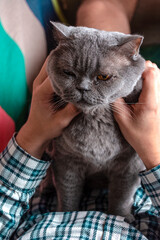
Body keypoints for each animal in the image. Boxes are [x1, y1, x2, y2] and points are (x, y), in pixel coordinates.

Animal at [47, 22, 146, 219]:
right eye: (68, 73)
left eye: (103, 77)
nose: (82, 88)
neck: (95, 122)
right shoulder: (65, 160)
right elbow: (67, 193)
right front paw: (64, 216)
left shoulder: (129, 166)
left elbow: (122, 197)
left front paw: (121, 218)